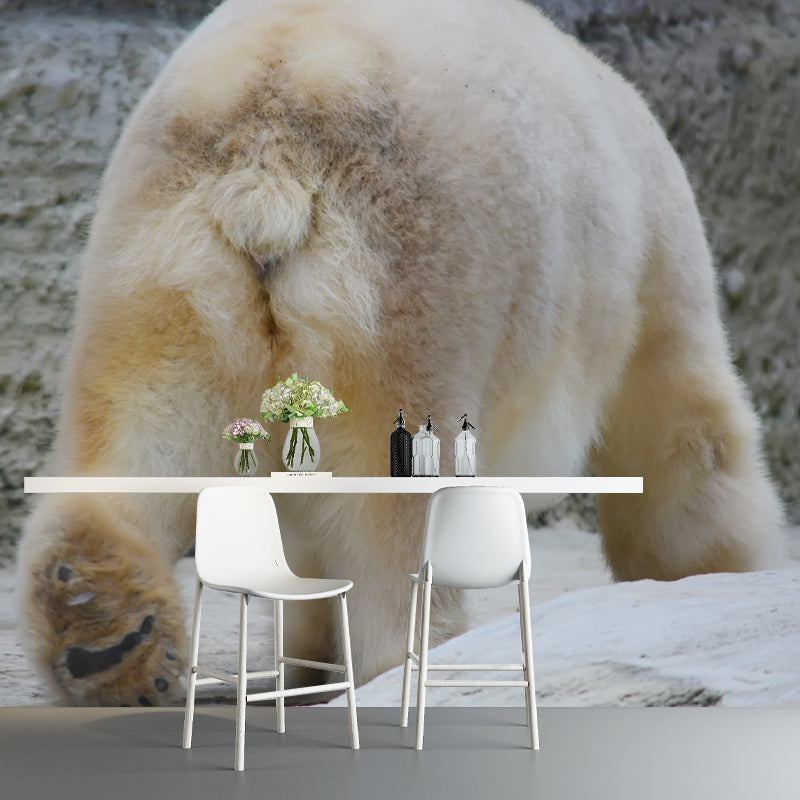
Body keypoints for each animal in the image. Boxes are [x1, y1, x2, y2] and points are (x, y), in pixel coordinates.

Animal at [18, 0, 784, 706]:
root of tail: (267, 142)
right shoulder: (648, 259)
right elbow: (680, 432)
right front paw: (710, 577)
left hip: (159, 272)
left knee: (134, 441)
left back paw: (104, 635)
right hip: (409, 275)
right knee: (394, 520)